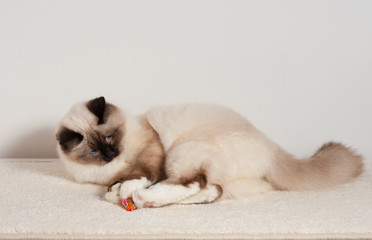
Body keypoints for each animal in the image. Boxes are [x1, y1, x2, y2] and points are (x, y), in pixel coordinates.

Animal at [56, 96, 364, 209]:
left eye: (110, 137)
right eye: (94, 151)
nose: (110, 153)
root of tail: (272, 149)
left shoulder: (152, 151)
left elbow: (137, 175)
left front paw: (127, 190)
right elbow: (113, 186)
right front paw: (116, 192)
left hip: (183, 150)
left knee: (194, 182)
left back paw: (145, 197)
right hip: (227, 178)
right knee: (212, 190)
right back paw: (151, 200)